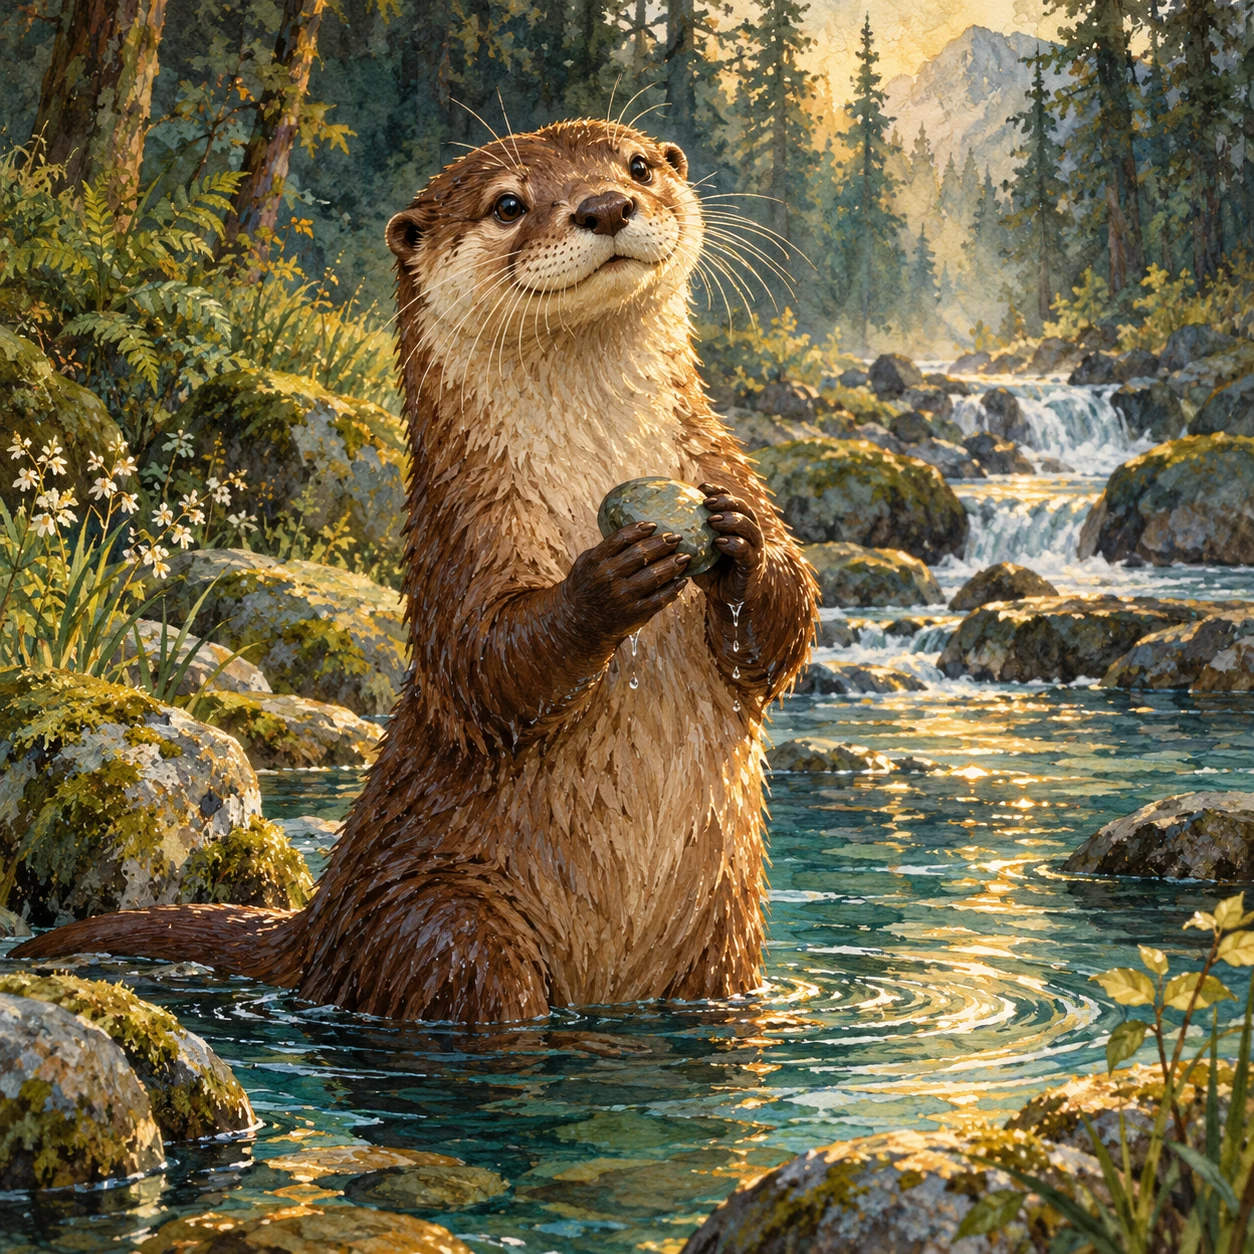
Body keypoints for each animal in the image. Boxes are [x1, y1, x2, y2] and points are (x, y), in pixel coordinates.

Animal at [15, 119, 818, 1022]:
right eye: (508, 205)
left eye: (638, 166)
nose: (607, 206)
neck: (595, 462)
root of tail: (317, 928)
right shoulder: (455, 533)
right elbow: (482, 665)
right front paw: (606, 582)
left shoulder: (722, 459)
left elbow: (783, 632)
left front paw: (743, 545)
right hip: (441, 918)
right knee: (474, 974)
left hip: (728, 935)